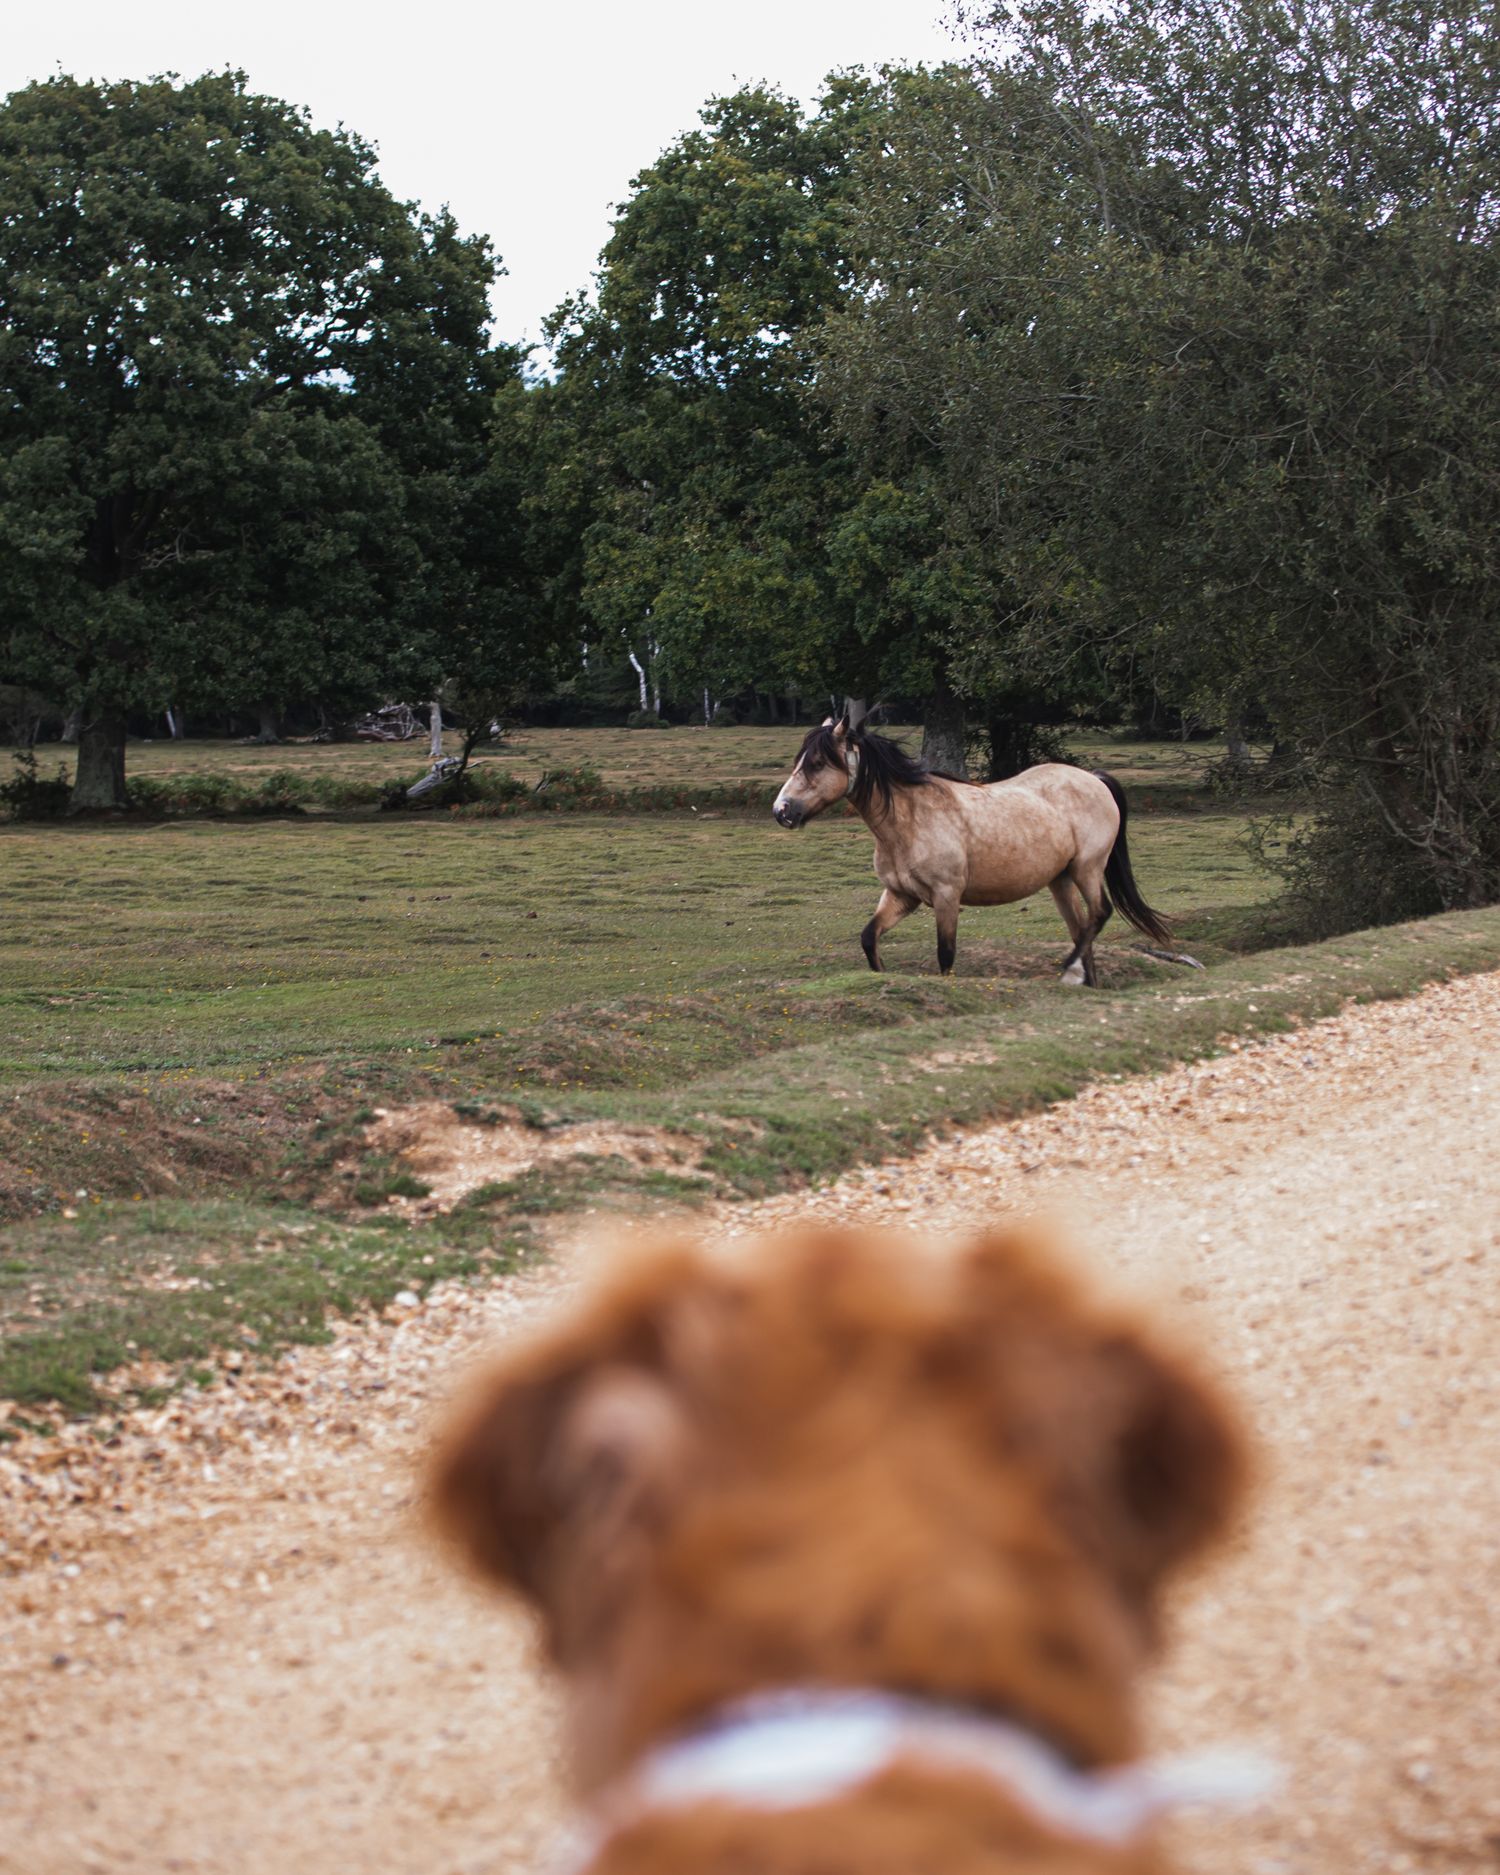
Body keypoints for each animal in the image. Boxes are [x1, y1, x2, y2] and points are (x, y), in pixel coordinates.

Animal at [771, 717, 1171, 984]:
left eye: (817, 763)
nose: (781, 811)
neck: (909, 821)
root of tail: (1095, 780)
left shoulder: (947, 896)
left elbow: (945, 955)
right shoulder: (901, 895)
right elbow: (869, 937)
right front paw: (882, 975)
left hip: (1087, 868)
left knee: (1099, 914)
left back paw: (1069, 971)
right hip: (1060, 880)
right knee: (1082, 928)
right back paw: (1084, 982)